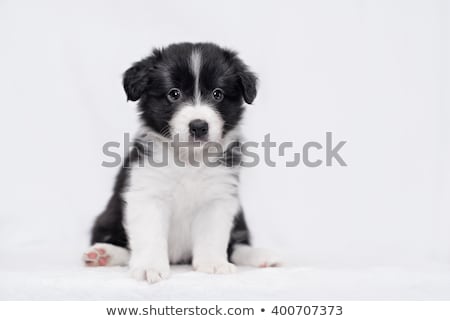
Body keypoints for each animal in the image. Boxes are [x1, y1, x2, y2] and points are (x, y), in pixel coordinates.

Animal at [83, 42, 280, 282]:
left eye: (217, 94)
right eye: (174, 94)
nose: (198, 126)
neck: (188, 160)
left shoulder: (218, 196)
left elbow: (212, 235)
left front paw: (212, 264)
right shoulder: (147, 193)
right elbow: (149, 234)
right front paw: (149, 267)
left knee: (237, 245)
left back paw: (261, 255)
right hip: (107, 217)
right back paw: (104, 254)